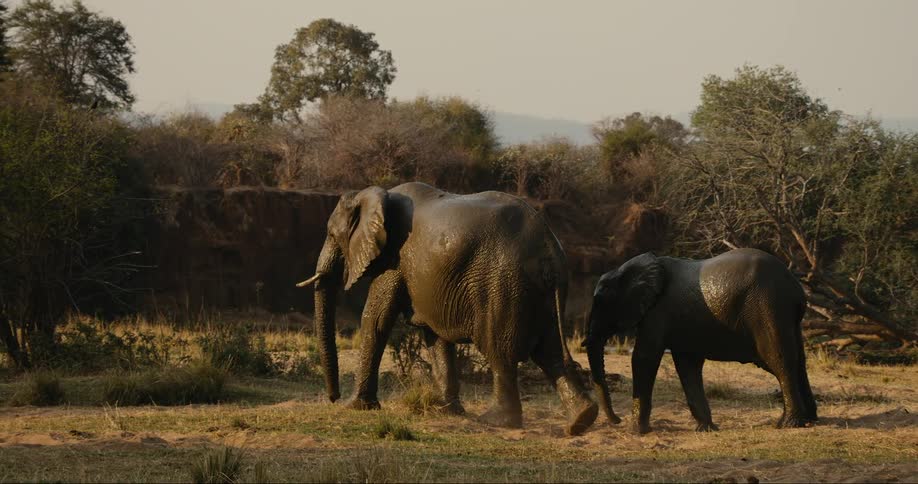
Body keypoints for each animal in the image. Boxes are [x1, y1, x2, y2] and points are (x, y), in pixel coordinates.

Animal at [296, 182, 598, 435]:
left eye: (331, 234)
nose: (333, 398)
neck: (377, 194)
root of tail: (548, 246)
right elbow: (435, 335)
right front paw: (447, 411)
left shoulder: (396, 258)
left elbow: (376, 319)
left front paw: (356, 407)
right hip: (541, 292)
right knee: (551, 352)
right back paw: (580, 421)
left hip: (503, 283)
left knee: (500, 352)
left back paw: (496, 421)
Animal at [582, 248, 817, 434]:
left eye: (600, 302)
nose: (616, 420)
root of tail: (797, 289)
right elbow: (687, 365)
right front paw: (706, 429)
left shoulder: (658, 312)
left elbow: (644, 358)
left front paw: (636, 431)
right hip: (784, 315)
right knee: (798, 362)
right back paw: (810, 420)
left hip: (768, 307)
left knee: (779, 360)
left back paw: (788, 424)